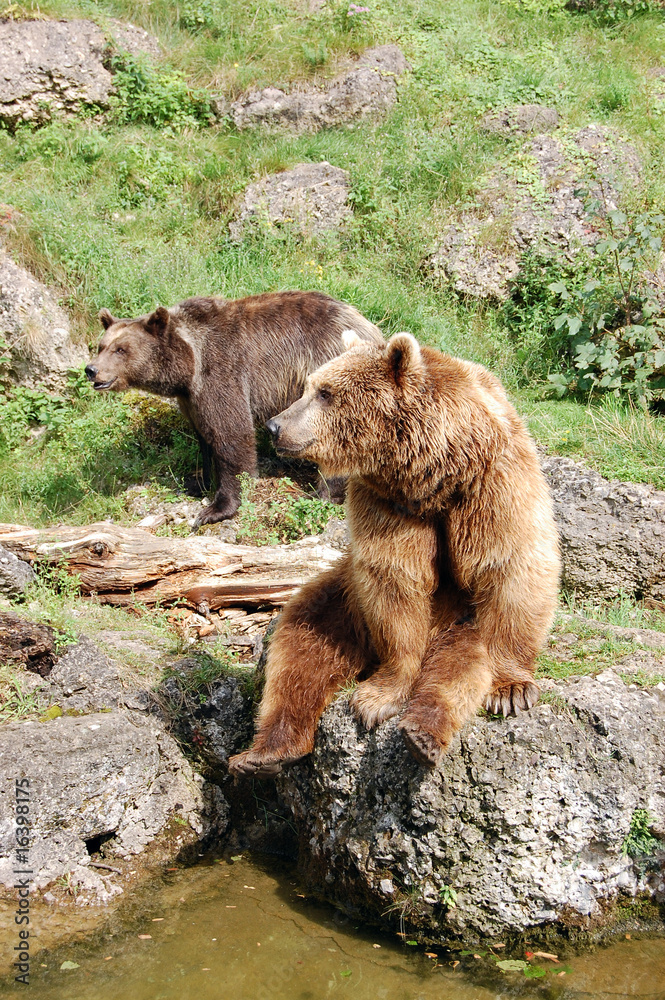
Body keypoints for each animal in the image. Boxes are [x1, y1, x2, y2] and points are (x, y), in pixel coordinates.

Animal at [85, 291, 383, 525]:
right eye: (101, 346)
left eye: (120, 349)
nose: (91, 370)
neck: (188, 365)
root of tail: (370, 328)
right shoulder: (191, 397)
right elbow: (203, 435)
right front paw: (197, 481)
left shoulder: (221, 371)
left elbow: (231, 433)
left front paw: (216, 509)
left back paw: (323, 493)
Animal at [228, 331, 560, 776]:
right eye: (309, 386)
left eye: (325, 392)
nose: (275, 425)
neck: (434, 472)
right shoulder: (386, 503)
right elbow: (394, 584)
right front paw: (378, 698)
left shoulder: (493, 484)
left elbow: (510, 566)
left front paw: (511, 689)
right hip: (342, 600)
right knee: (299, 645)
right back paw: (266, 753)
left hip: (463, 621)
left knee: (457, 666)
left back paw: (422, 733)